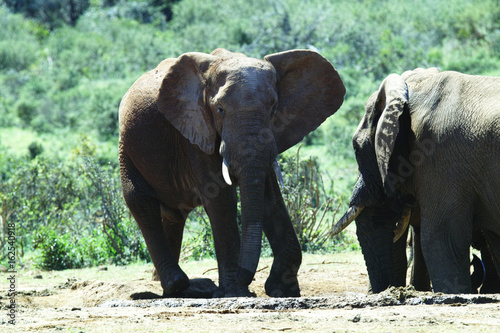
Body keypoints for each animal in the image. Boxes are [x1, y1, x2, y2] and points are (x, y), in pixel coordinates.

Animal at [119, 46, 346, 296]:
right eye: (220, 109)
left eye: (273, 107)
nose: (248, 280)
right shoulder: (196, 130)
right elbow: (220, 198)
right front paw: (235, 291)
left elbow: (269, 196)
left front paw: (283, 290)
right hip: (127, 147)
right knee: (140, 201)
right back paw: (176, 283)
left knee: (173, 215)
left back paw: (171, 286)